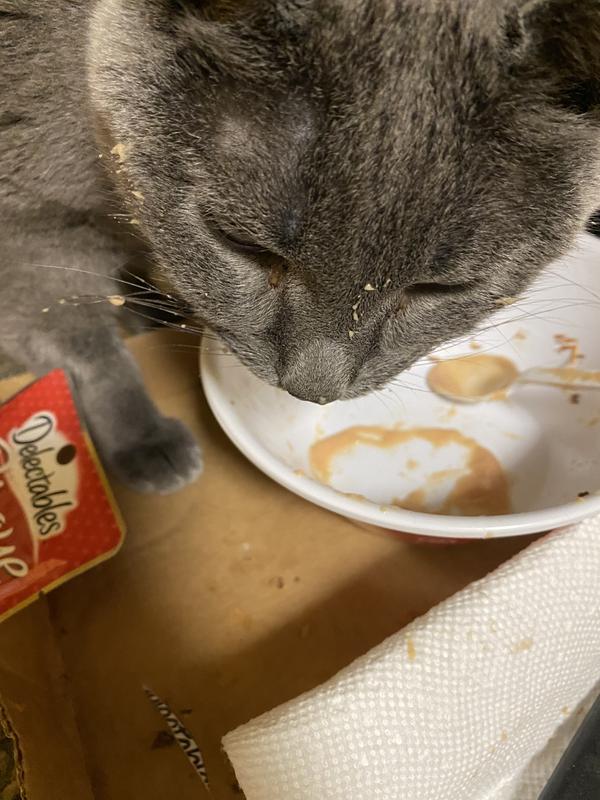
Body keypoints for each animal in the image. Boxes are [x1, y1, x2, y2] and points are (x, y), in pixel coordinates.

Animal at [1, 0, 600, 494]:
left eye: (439, 288)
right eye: (242, 244)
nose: (312, 386)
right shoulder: (29, 222)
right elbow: (82, 343)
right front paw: (144, 440)